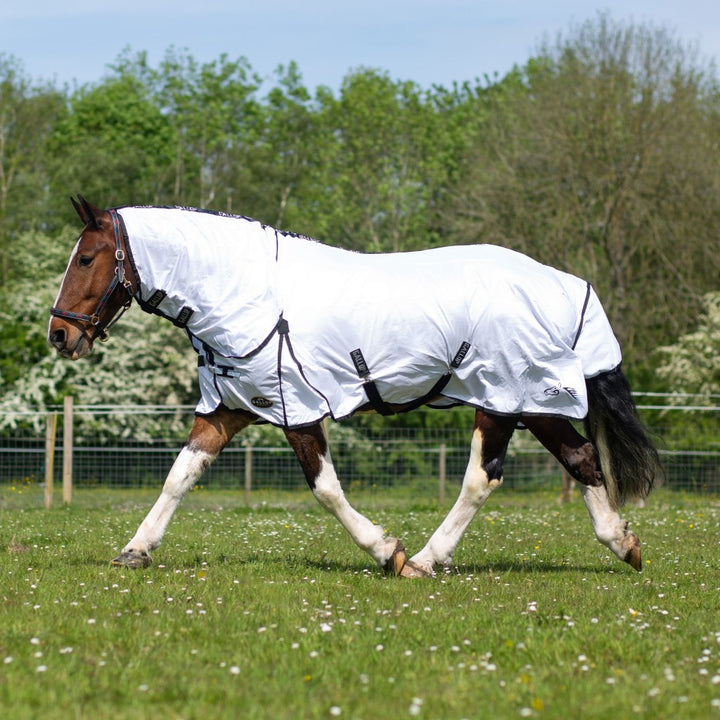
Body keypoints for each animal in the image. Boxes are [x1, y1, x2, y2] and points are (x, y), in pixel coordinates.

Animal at [47, 197, 660, 580]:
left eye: (86, 258)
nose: (59, 335)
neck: (248, 293)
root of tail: (564, 285)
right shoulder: (229, 409)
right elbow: (179, 476)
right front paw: (136, 550)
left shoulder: (296, 412)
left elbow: (326, 490)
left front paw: (387, 552)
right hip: (530, 402)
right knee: (582, 458)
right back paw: (622, 542)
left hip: (500, 400)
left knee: (482, 479)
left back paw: (427, 560)